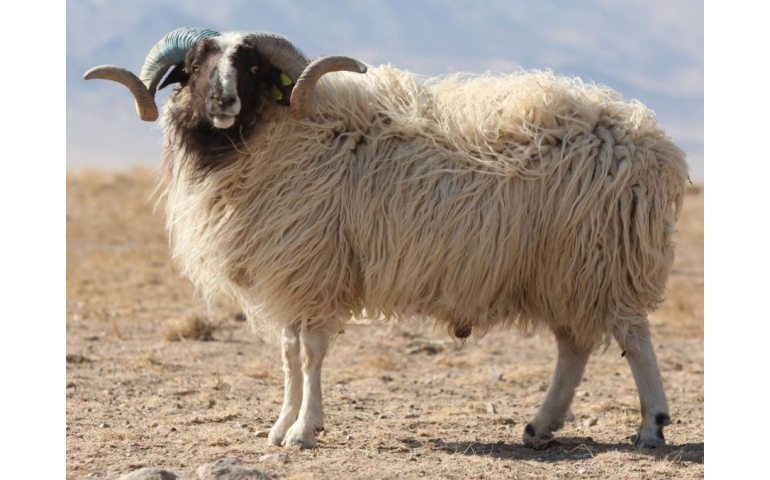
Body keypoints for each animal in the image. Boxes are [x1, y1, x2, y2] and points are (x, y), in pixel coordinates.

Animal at [84, 27, 689, 450]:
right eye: (192, 67)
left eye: (251, 66)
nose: (224, 101)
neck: (277, 136)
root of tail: (652, 139)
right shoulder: (289, 274)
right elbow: (287, 355)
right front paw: (280, 426)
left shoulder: (315, 271)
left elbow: (310, 355)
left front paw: (304, 431)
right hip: (564, 266)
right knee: (575, 344)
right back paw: (540, 427)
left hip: (602, 255)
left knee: (634, 339)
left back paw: (651, 427)